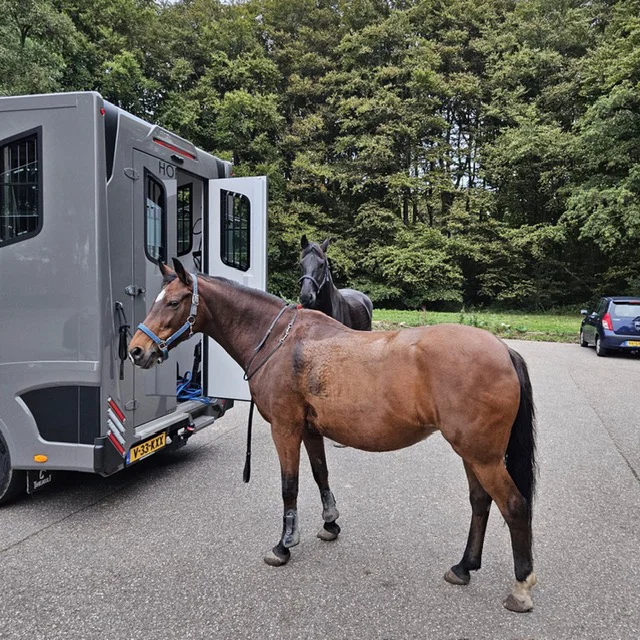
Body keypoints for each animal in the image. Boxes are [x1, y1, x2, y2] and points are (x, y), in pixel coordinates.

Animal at [128, 259, 538, 613]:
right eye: (156, 300)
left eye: (175, 302)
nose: (136, 350)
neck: (280, 342)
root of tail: (504, 350)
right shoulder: (310, 430)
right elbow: (320, 473)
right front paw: (330, 524)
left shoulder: (285, 428)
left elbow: (290, 486)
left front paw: (284, 545)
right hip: (472, 454)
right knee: (481, 503)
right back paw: (464, 567)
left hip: (482, 455)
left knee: (514, 506)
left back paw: (521, 587)